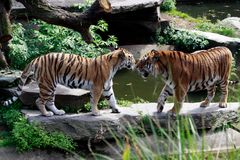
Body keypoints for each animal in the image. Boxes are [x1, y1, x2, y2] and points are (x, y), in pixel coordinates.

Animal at [2, 47, 136, 116]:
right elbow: (94, 100)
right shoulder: (97, 87)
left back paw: (58, 112)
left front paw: (117, 109)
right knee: (39, 101)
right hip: (47, 84)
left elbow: (112, 99)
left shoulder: (107, 87)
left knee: (49, 101)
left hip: (51, 85)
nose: (135, 63)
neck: (115, 66)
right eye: (131, 57)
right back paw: (46, 114)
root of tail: (37, 58)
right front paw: (96, 112)